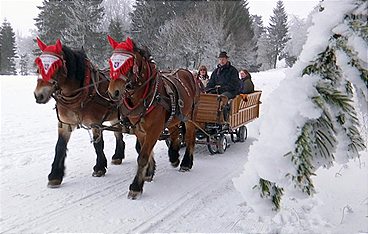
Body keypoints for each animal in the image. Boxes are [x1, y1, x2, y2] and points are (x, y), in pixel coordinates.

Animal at [34, 38, 126, 188]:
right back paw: (118, 156)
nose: (38, 95)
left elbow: (98, 144)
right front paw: (55, 175)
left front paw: (99, 167)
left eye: (55, 67)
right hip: (115, 117)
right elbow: (60, 146)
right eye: (38, 65)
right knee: (118, 134)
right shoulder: (65, 123)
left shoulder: (95, 123)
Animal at [105, 36, 200, 199]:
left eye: (128, 64)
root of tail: (189, 73)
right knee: (175, 134)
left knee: (189, 138)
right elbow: (144, 151)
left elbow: (143, 156)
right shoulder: (139, 129)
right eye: (111, 62)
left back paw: (186, 163)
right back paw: (174, 157)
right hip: (175, 117)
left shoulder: (154, 129)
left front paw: (136, 186)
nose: (113, 92)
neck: (146, 95)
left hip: (190, 116)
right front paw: (148, 173)